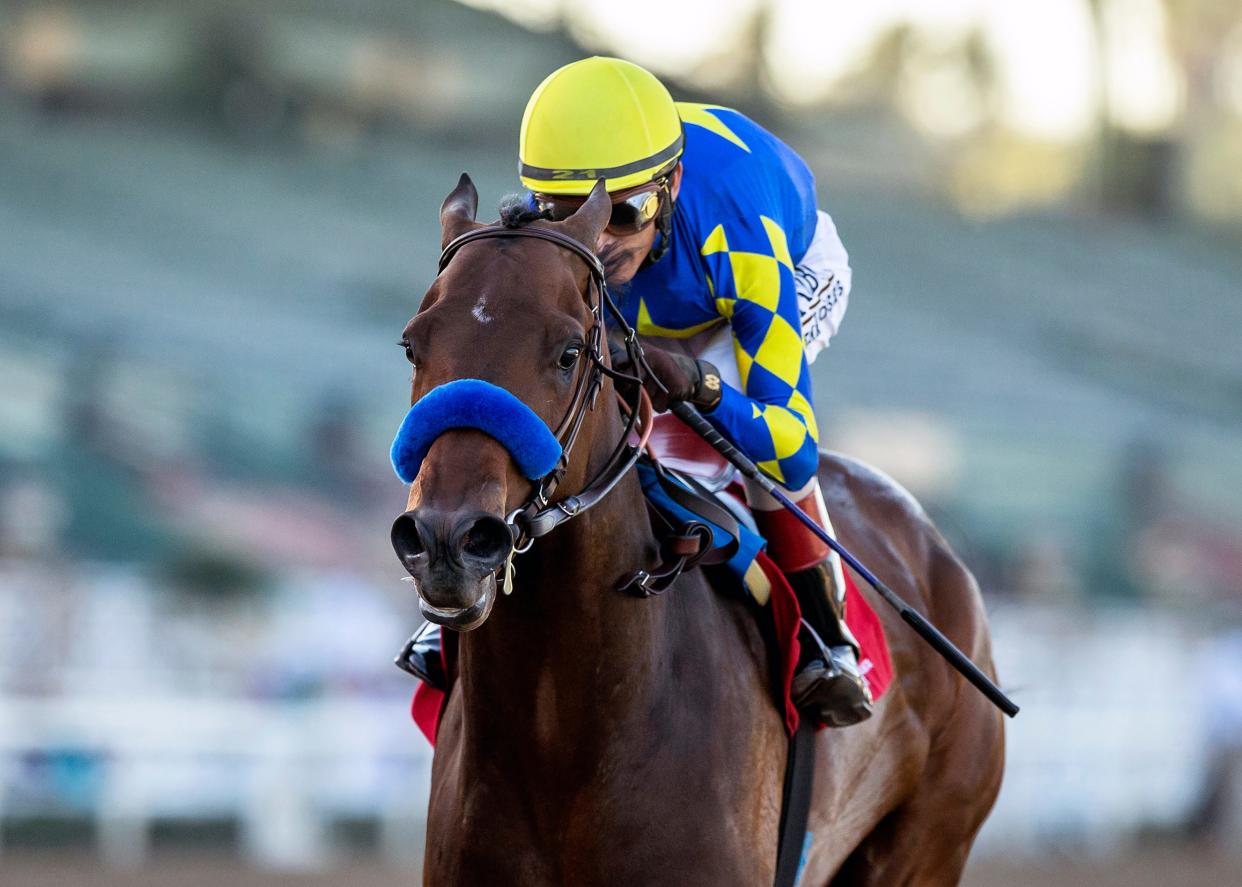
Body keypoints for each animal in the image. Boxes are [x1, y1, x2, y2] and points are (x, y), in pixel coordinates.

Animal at [392, 176, 1003, 879]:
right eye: (412, 344)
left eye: (570, 352)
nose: (447, 540)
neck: (560, 739)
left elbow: (787, 429)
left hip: (929, 844)